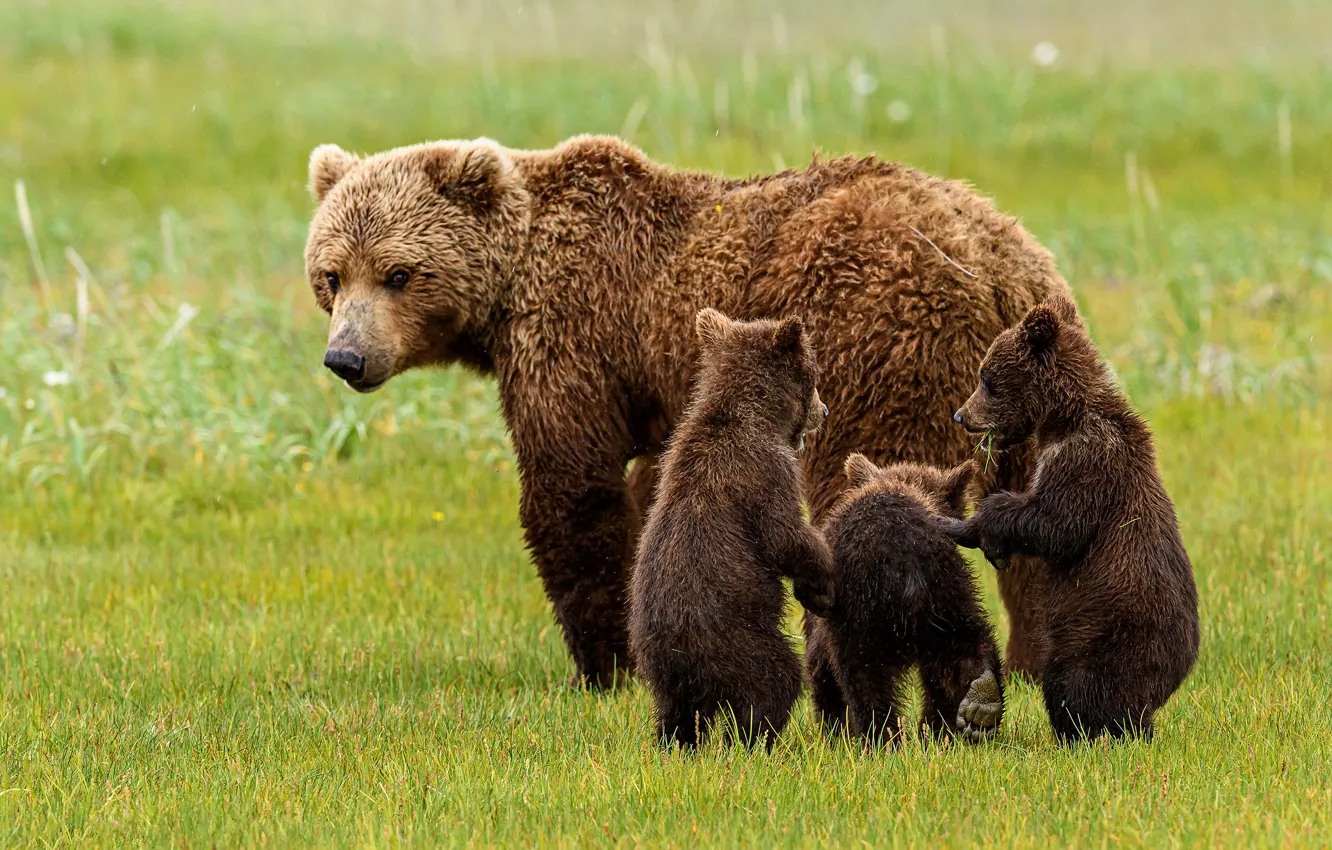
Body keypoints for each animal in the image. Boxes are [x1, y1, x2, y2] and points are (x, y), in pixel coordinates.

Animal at [303, 134, 1070, 689]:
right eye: (332, 274)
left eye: (399, 273)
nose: (347, 358)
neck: (506, 291)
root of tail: (1000, 266)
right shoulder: (654, 386)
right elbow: (656, 490)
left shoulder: (572, 334)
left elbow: (572, 489)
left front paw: (607, 666)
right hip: (1019, 392)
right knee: (1031, 524)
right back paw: (1033, 661)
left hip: (884, 339)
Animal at [628, 308, 833, 749]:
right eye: (812, 375)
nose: (823, 411)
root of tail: (680, 661)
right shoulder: (764, 472)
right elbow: (785, 535)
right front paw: (823, 578)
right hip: (736, 637)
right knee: (772, 681)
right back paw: (757, 739)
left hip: (661, 673)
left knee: (676, 715)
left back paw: (677, 743)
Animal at [804, 455, 1003, 745]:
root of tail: (907, 560)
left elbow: (822, 665)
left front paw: (834, 730)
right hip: (947, 591)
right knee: (967, 643)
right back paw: (976, 706)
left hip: (862, 609)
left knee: (864, 677)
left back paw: (881, 739)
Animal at [943, 292, 1200, 742]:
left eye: (986, 378)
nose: (962, 415)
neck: (1063, 418)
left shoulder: (1087, 461)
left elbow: (1056, 525)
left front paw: (986, 523)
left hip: (1108, 632)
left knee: (1078, 684)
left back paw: (1090, 732)